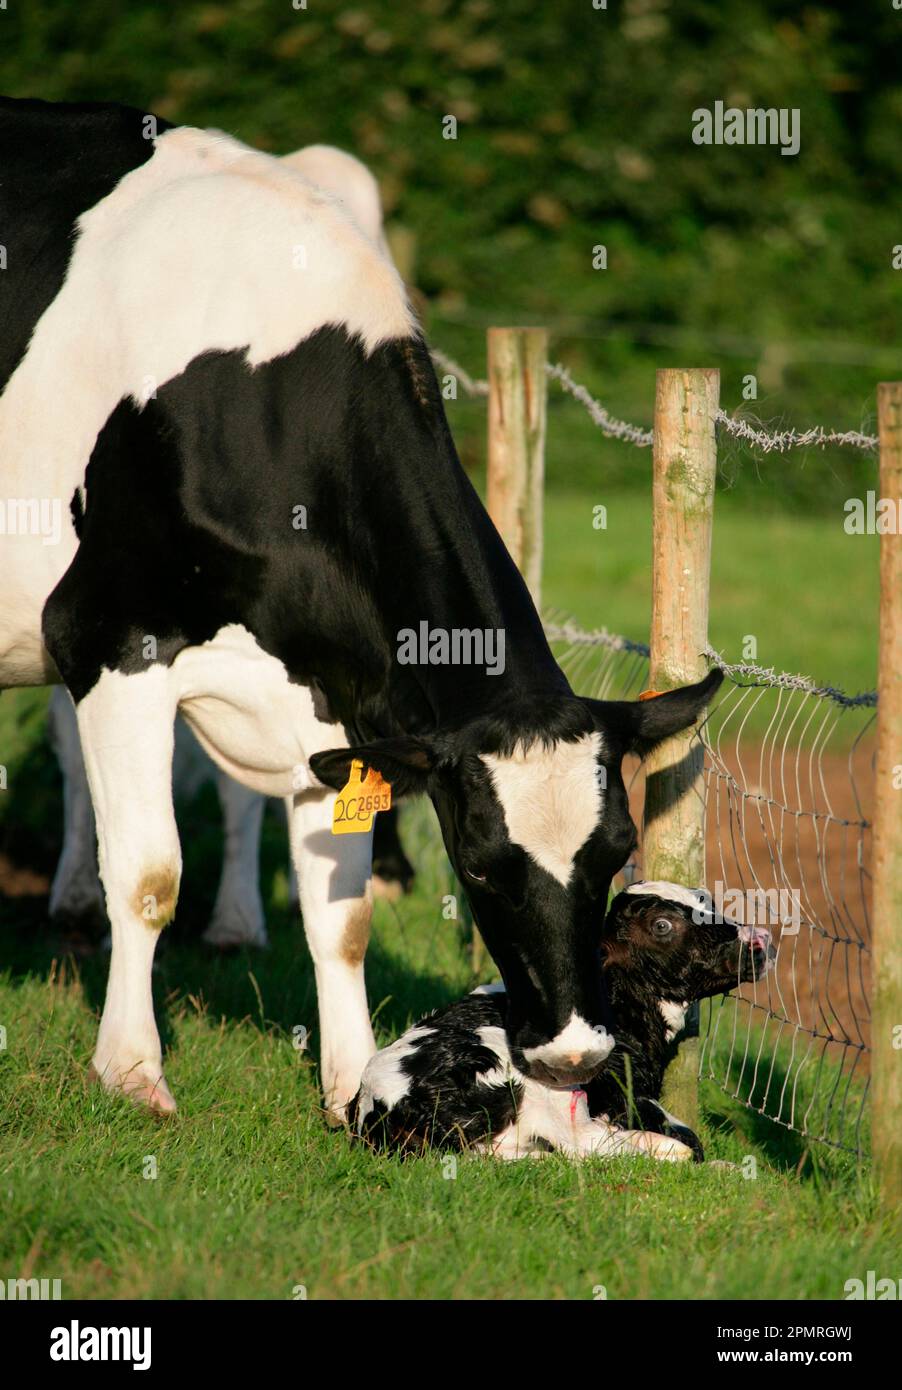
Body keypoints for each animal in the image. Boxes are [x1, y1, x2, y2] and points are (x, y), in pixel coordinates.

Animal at [0, 97, 717, 1117]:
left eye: (617, 850)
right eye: (480, 861)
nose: (577, 1053)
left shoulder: (329, 704)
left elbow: (341, 917)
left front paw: (350, 1084)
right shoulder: (106, 635)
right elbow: (146, 875)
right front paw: (134, 1073)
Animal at [350, 878, 772, 1162]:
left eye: (707, 900)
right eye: (662, 925)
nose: (759, 940)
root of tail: (376, 1100)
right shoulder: (618, 1088)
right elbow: (685, 1135)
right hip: (529, 1080)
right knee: (581, 1145)